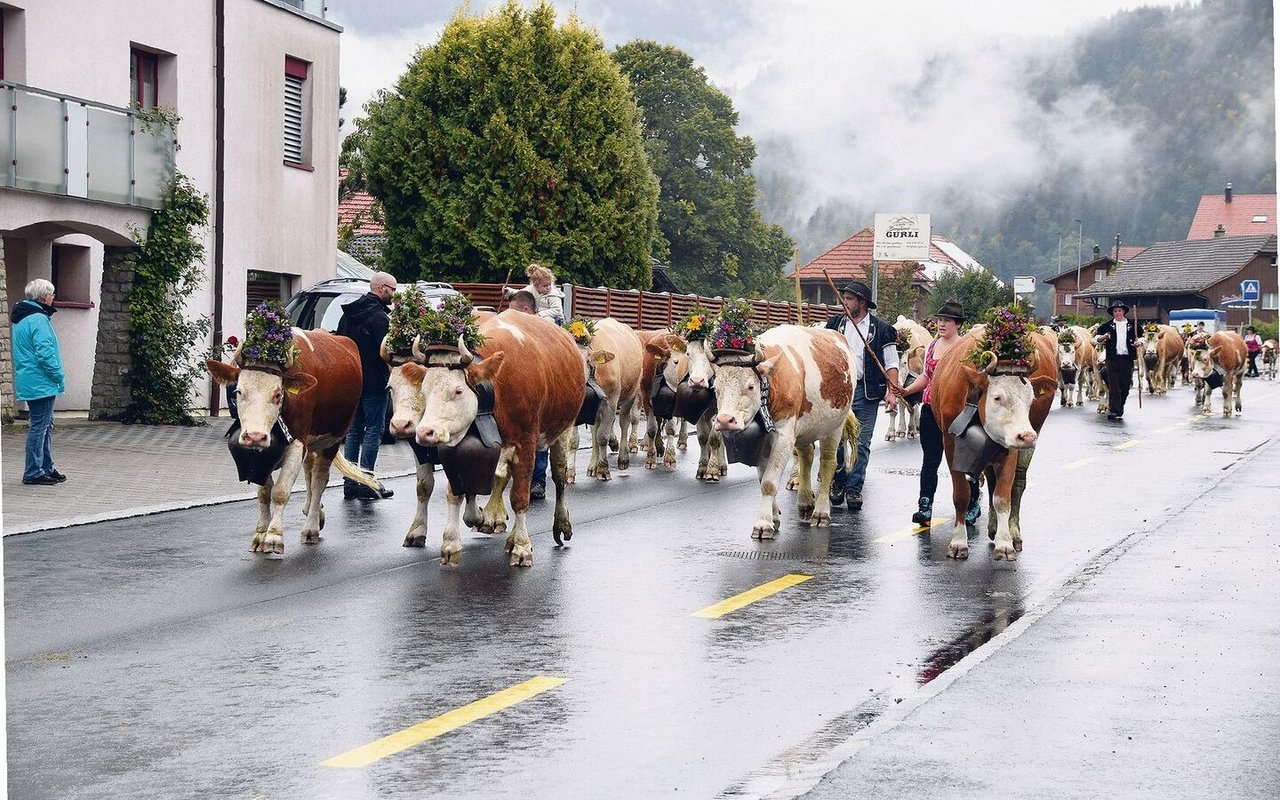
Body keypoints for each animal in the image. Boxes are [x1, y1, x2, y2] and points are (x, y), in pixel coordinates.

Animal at [206, 327, 378, 552]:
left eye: (278, 394)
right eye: (238, 391)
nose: (255, 436)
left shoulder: (298, 443)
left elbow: (280, 491)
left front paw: (273, 537)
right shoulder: (261, 456)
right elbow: (264, 492)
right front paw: (259, 535)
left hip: (334, 438)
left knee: (319, 479)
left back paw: (311, 528)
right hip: (312, 442)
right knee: (309, 471)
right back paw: (313, 512)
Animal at [404, 308, 586, 565]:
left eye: (458, 391)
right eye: (424, 390)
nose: (424, 432)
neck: (493, 392)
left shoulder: (526, 442)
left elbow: (520, 497)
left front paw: (521, 546)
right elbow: (455, 493)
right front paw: (451, 542)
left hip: (562, 428)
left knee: (559, 477)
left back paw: (560, 524)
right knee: (501, 474)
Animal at [711, 322, 860, 537]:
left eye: (750, 386)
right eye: (715, 388)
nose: (724, 420)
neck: (772, 384)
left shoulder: (783, 436)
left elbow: (769, 482)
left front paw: (763, 524)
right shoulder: (765, 439)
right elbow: (762, 478)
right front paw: (773, 517)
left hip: (834, 427)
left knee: (828, 463)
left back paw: (821, 512)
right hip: (805, 430)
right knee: (807, 456)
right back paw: (805, 503)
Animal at [931, 322, 1059, 555]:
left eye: (1031, 399)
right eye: (997, 397)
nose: (1027, 436)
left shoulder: (1011, 445)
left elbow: (1003, 497)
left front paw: (1005, 543)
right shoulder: (950, 444)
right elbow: (961, 495)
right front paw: (958, 542)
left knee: (1017, 483)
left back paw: (1012, 532)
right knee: (991, 479)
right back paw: (992, 526)